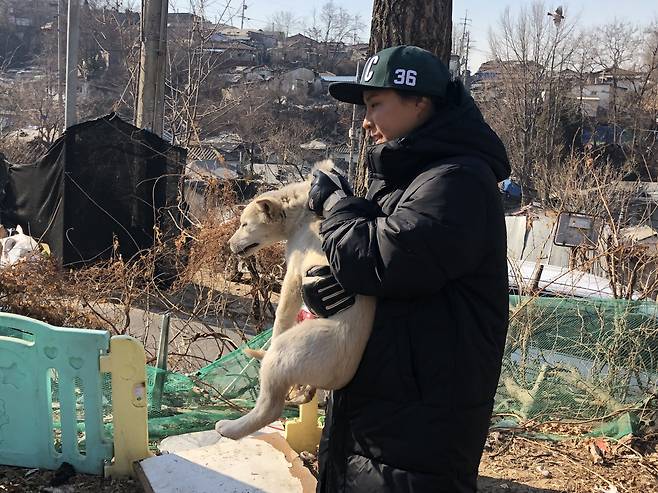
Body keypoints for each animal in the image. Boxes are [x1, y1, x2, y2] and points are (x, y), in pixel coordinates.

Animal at [217, 160, 374, 438]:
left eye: (245, 225)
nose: (229, 245)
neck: (302, 214)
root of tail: (340, 379)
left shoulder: (293, 275)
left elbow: (281, 315)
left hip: (285, 352)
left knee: (270, 409)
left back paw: (231, 428)